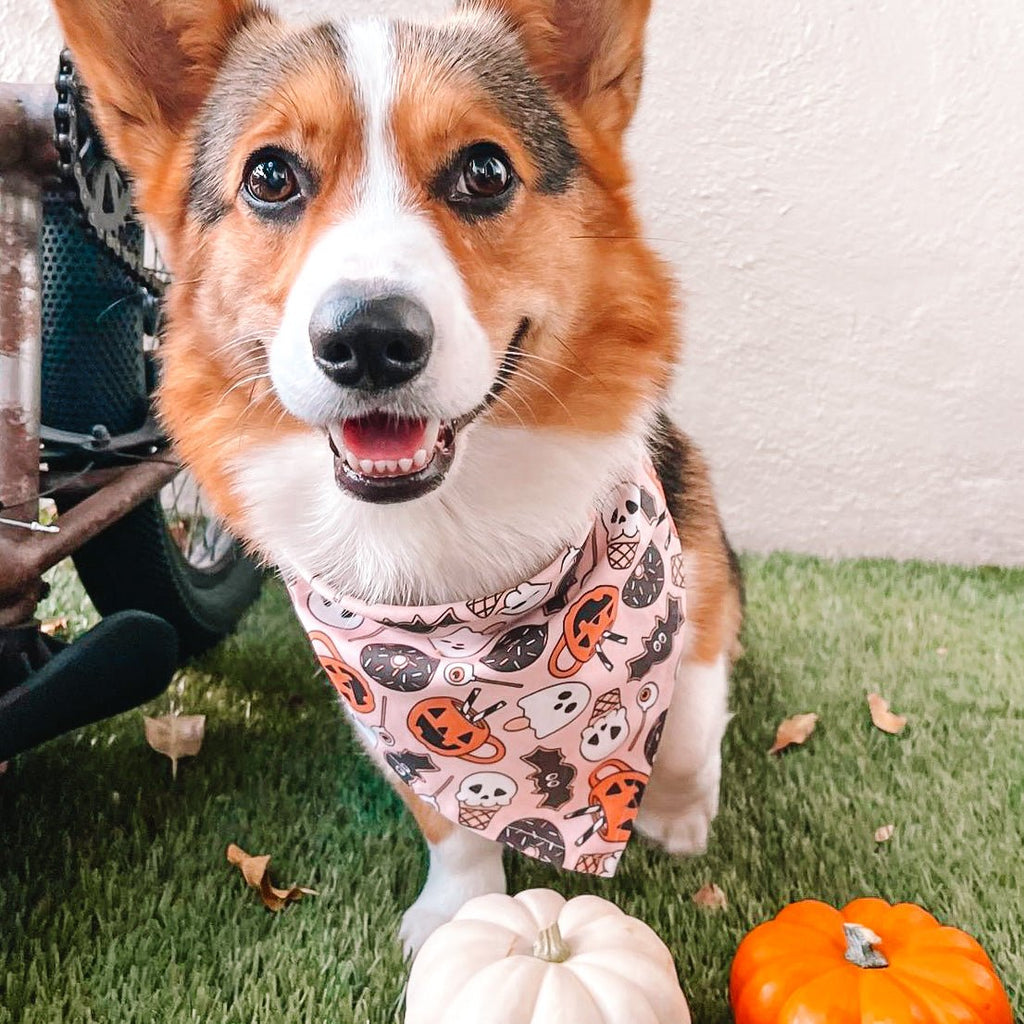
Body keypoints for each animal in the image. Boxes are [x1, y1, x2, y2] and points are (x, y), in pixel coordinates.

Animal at [54, 0, 745, 950]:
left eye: (485, 171)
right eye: (270, 176)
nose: (369, 338)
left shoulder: (695, 589)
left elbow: (689, 725)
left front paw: (679, 822)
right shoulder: (394, 718)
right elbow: (449, 825)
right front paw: (460, 908)